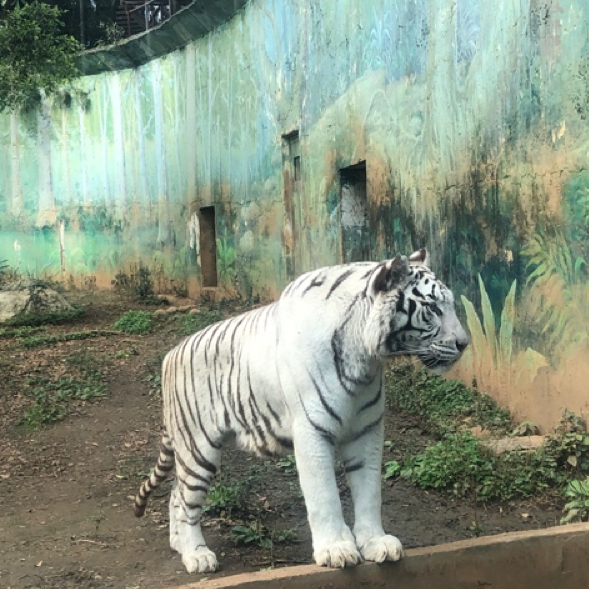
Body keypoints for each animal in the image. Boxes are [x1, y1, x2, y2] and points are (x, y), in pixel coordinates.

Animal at [134, 249, 468, 576]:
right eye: (433, 309)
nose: (464, 343)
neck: (365, 361)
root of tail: (171, 354)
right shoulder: (312, 431)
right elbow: (324, 495)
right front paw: (336, 549)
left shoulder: (367, 431)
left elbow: (370, 490)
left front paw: (376, 542)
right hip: (198, 447)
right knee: (186, 498)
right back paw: (196, 554)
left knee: (176, 493)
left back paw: (178, 544)